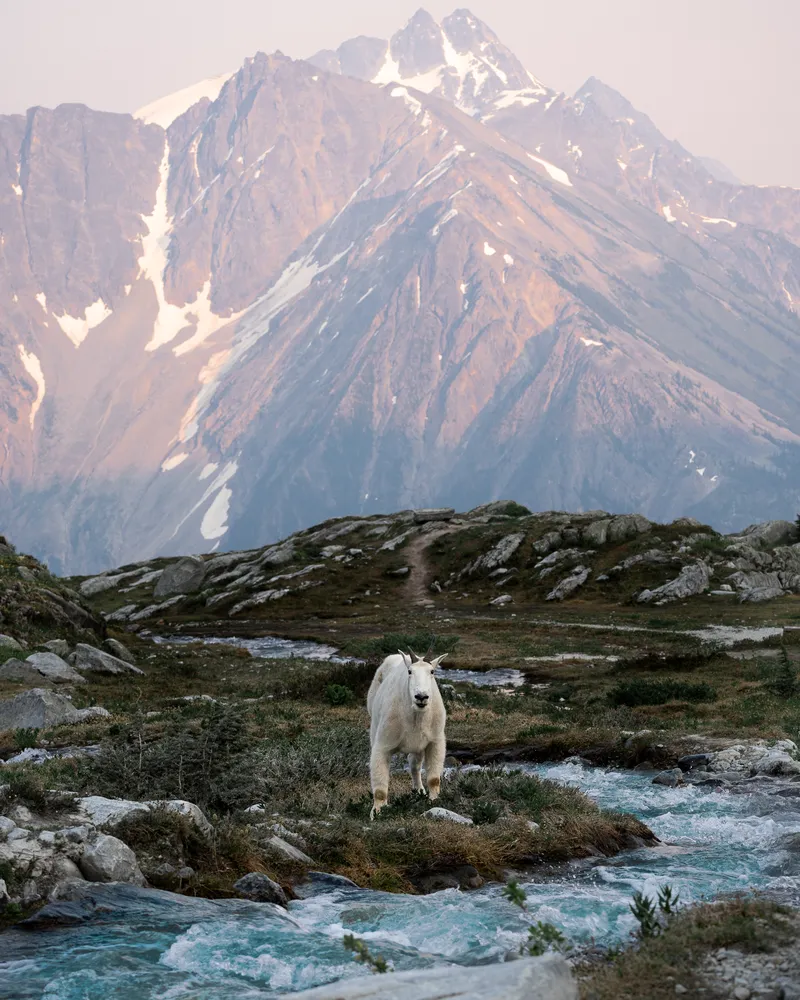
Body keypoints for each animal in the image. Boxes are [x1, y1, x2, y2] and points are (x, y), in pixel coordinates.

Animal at [366, 648, 446, 820]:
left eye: (432, 671)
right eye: (410, 671)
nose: (421, 697)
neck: (416, 716)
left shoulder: (435, 741)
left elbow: (434, 779)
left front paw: (434, 801)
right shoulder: (383, 744)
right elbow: (380, 790)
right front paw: (376, 812)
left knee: (414, 765)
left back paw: (419, 791)